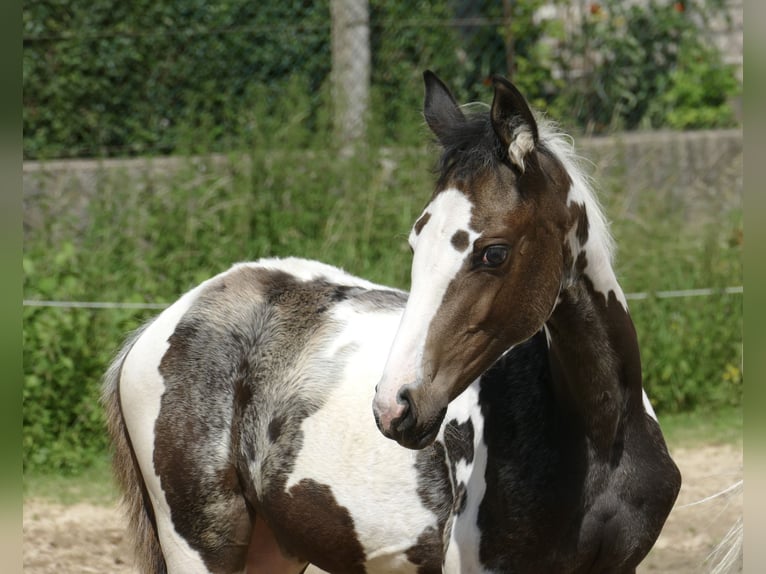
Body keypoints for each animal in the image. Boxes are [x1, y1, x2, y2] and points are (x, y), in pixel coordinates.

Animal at [103, 72, 684, 574]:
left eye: (493, 252)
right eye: (415, 241)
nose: (395, 407)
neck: (598, 438)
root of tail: (158, 328)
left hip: (276, 549)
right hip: (202, 545)